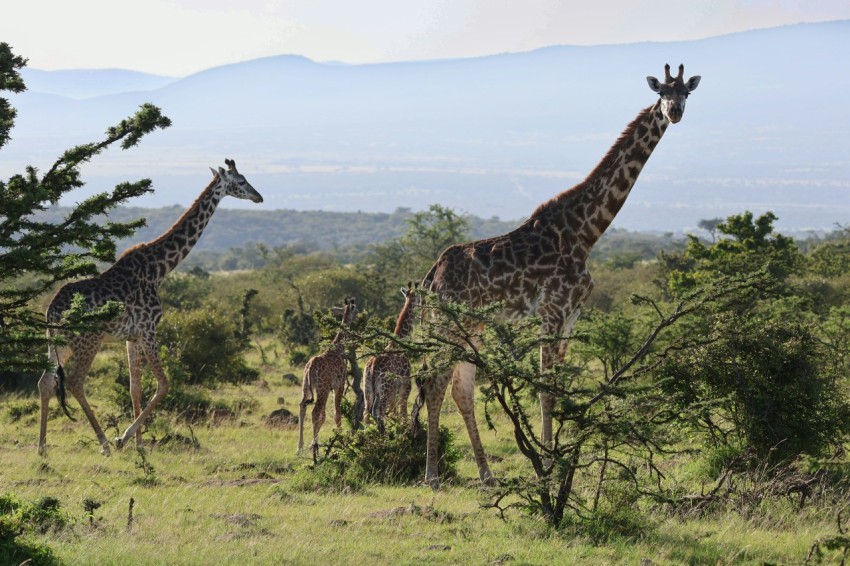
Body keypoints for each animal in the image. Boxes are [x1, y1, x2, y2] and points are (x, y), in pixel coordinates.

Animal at [38, 160, 264, 458]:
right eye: (240, 181)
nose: (259, 197)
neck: (159, 269)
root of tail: (52, 310)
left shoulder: (132, 337)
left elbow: (135, 388)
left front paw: (139, 445)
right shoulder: (149, 330)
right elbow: (164, 384)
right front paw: (123, 438)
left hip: (58, 343)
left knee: (45, 381)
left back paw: (42, 447)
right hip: (88, 341)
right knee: (74, 382)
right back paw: (104, 443)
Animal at [296, 300, 356, 460]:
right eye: (355, 309)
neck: (339, 347)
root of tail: (311, 367)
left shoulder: (329, 388)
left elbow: (324, 416)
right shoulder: (339, 385)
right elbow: (337, 413)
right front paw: (341, 440)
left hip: (306, 386)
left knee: (302, 407)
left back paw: (300, 447)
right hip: (321, 389)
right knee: (314, 412)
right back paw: (314, 447)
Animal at [364, 284, 418, 430]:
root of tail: (373, 367)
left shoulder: (394, 389)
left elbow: (394, 412)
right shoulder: (405, 383)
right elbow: (403, 411)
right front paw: (404, 430)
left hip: (368, 390)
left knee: (366, 414)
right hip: (384, 390)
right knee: (380, 412)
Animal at [414, 64, 700, 490]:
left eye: (686, 93)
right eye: (662, 92)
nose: (675, 112)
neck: (586, 232)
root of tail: (433, 275)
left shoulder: (572, 316)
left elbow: (558, 385)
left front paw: (557, 460)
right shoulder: (551, 312)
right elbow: (545, 390)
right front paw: (546, 467)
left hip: (472, 328)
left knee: (460, 388)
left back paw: (487, 475)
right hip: (448, 325)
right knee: (434, 382)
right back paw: (432, 475)